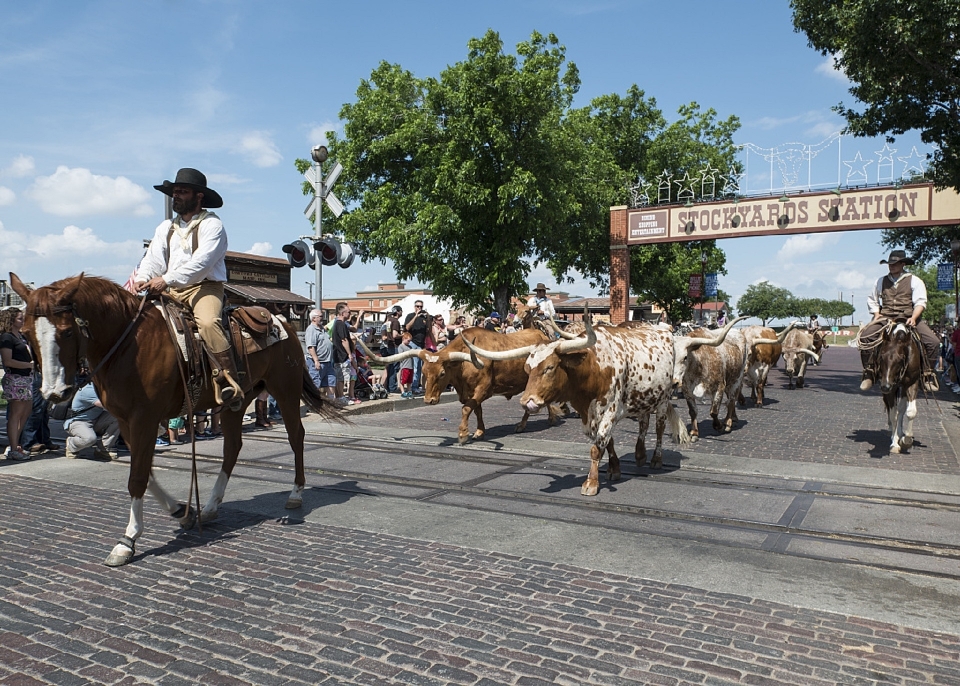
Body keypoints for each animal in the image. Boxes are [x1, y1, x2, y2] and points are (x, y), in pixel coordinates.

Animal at [11, 274, 340, 568]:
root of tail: (280, 321)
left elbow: (137, 478)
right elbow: (145, 473)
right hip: (236, 401)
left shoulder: (143, 418)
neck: (127, 344)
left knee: (295, 436)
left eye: (67, 332)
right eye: (25, 333)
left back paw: (295, 493)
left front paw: (127, 541)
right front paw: (182, 510)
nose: (54, 393)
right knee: (232, 447)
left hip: (285, 390)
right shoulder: (127, 421)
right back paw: (209, 506)